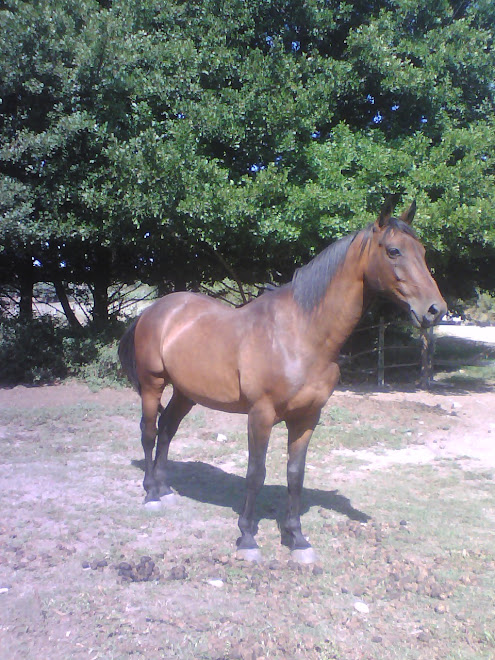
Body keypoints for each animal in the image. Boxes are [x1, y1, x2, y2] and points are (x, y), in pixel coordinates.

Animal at [118, 198, 447, 562]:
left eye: (422, 251)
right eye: (393, 251)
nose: (435, 310)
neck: (300, 334)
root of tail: (154, 311)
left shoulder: (306, 418)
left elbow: (295, 475)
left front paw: (297, 539)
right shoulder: (260, 416)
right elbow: (256, 473)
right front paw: (247, 537)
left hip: (186, 392)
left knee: (167, 429)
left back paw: (165, 489)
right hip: (153, 384)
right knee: (149, 432)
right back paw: (151, 494)